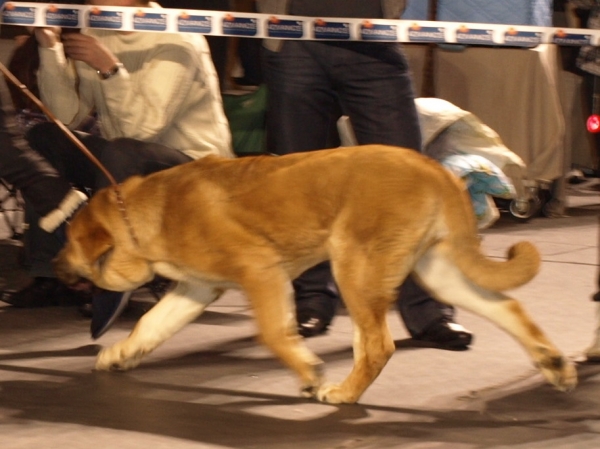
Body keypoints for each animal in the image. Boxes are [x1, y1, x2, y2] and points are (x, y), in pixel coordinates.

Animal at [52, 144, 576, 402]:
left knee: (378, 346)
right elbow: (149, 325)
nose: (53, 266)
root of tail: (434, 168)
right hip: (437, 270)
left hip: (355, 267)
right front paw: (120, 355)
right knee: (507, 306)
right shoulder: (194, 289)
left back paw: (341, 393)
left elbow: (273, 332)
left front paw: (307, 372)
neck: (147, 215)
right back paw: (554, 365)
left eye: (68, 239)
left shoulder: (260, 272)